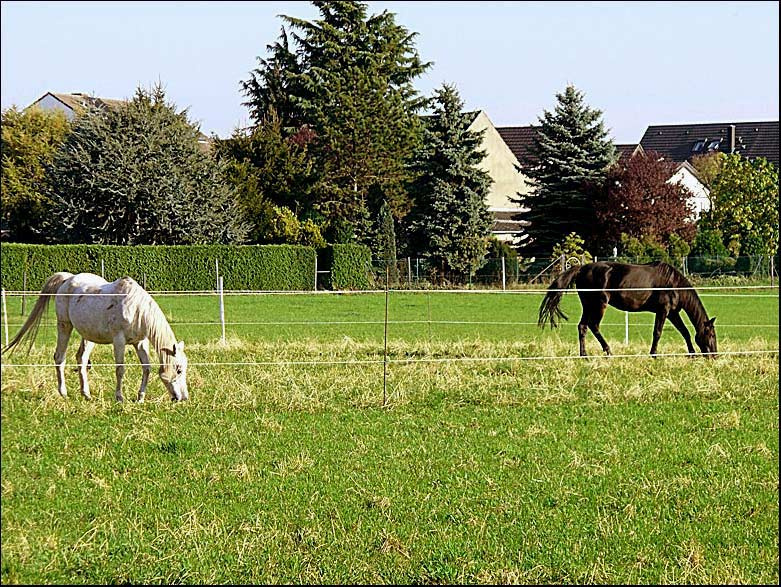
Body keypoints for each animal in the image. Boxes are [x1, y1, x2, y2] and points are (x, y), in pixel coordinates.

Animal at [2, 272, 189, 402]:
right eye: (179, 370)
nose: (184, 398)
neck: (136, 308)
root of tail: (67, 279)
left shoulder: (140, 342)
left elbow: (147, 368)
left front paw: (140, 397)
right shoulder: (119, 340)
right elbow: (120, 369)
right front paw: (119, 397)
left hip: (88, 335)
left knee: (82, 359)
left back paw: (86, 394)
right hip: (64, 326)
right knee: (59, 357)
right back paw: (63, 393)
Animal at [538, 261, 717, 357]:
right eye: (712, 335)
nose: (714, 356)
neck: (673, 283)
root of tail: (582, 268)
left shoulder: (672, 313)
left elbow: (685, 332)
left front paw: (692, 354)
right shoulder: (663, 311)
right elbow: (657, 332)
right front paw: (653, 355)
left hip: (588, 305)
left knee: (582, 327)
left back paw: (585, 355)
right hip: (599, 304)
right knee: (593, 326)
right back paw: (608, 352)